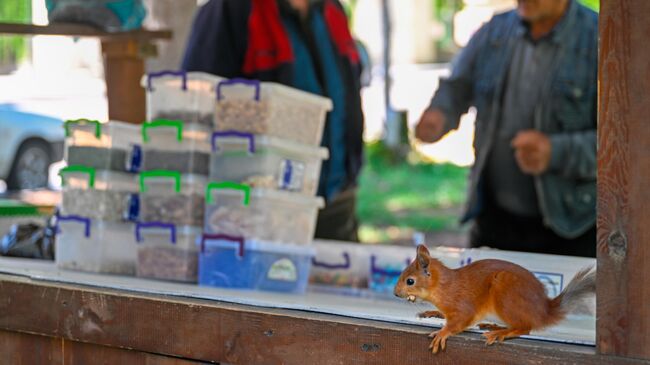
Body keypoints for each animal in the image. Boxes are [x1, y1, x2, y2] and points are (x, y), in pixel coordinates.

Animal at [392, 245, 596, 352]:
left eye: (410, 281)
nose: (395, 293)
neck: (444, 286)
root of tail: (544, 311)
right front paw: (431, 312)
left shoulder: (462, 304)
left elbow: (460, 321)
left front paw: (443, 332)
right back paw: (494, 326)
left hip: (505, 296)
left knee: (526, 327)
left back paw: (501, 332)